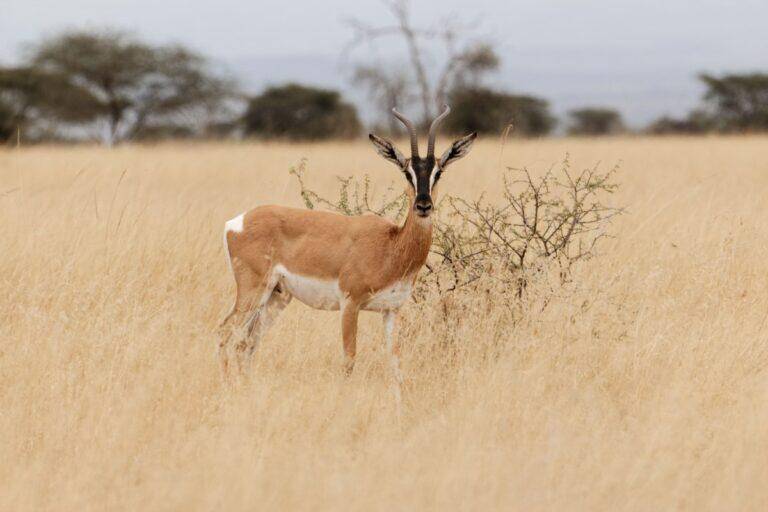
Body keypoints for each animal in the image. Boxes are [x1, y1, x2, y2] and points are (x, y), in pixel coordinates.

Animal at [218, 105, 476, 392]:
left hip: (276, 297)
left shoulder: (391, 311)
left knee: (247, 343)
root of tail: (237, 222)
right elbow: (349, 359)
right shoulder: (350, 304)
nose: (423, 205)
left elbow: (395, 363)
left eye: (438, 172)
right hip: (253, 292)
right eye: (406, 172)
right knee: (226, 332)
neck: (391, 246)